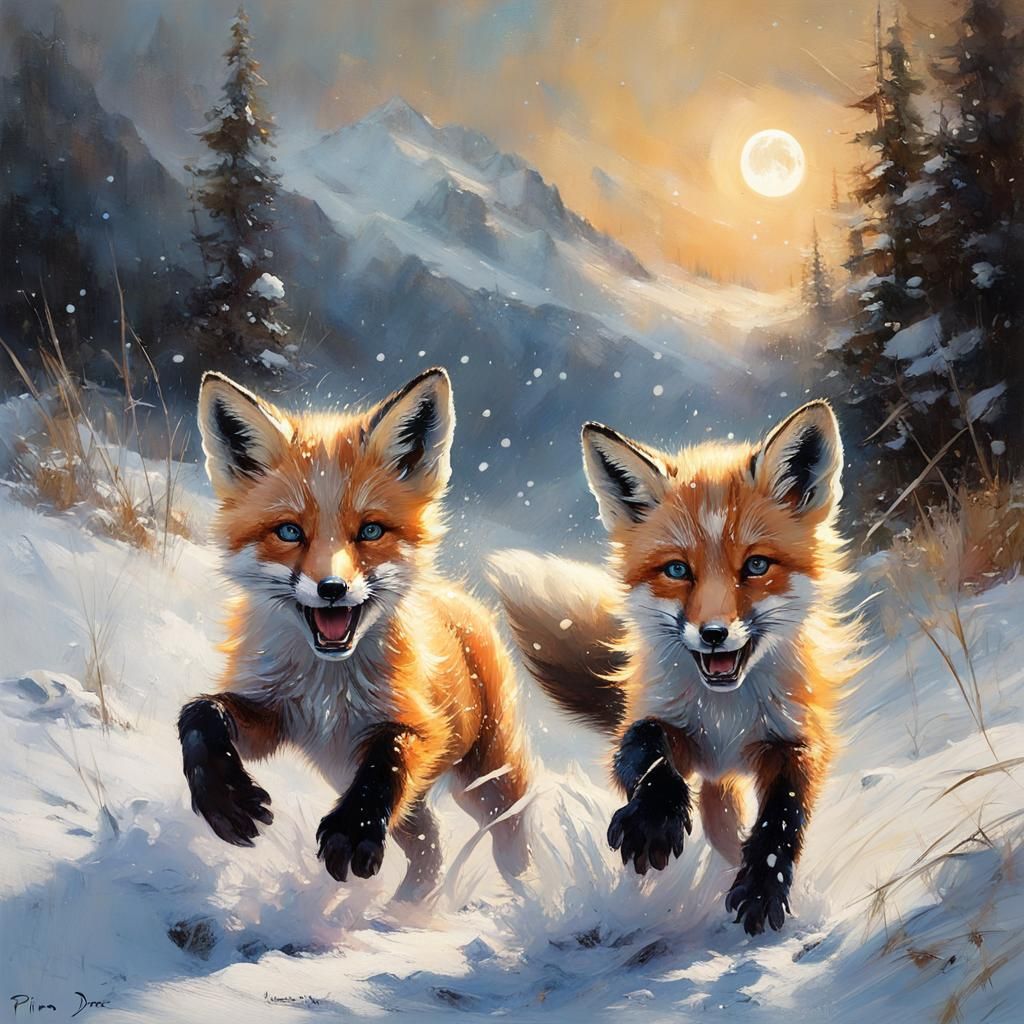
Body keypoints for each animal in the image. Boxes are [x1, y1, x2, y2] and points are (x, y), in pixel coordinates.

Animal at [177, 367, 530, 901]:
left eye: (370, 531)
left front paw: (352, 830)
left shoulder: (420, 727)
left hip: (487, 783)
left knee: (513, 840)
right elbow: (201, 712)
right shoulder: (273, 715)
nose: (332, 589)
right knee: (430, 849)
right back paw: (407, 908)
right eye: (289, 532)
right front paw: (224, 797)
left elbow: (388, 757)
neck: (329, 691)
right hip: (415, 808)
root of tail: (459, 596)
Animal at [489, 401, 862, 935]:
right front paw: (653, 824)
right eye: (678, 570)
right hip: (712, 780)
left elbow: (783, 813)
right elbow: (645, 748)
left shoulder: (798, 736)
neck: (726, 717)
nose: (714, 634)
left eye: (756, 565)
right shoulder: (666, 725)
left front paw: (763, 887)